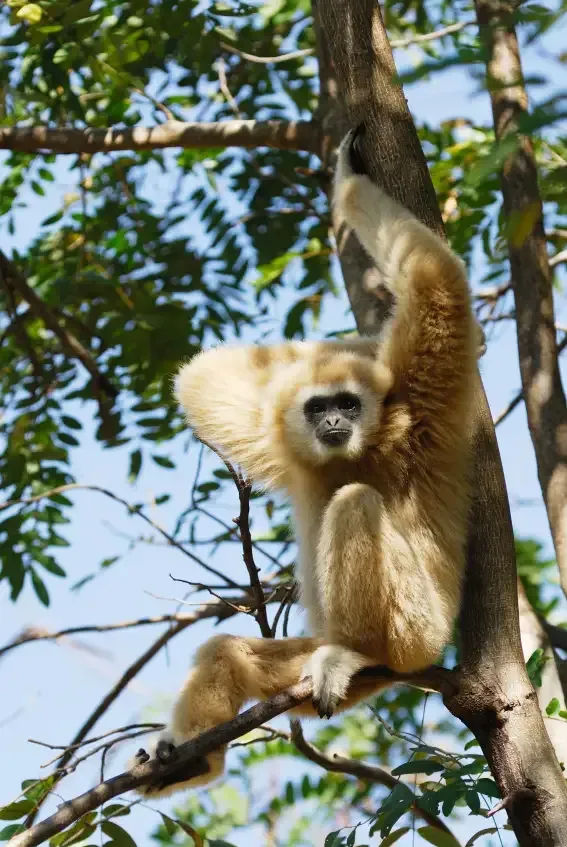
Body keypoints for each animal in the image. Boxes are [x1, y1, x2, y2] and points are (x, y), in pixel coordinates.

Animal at [131, 125, 478, 797]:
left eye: (347, 403)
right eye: (320, 408)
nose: (334, 424)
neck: (371, 440)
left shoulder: (423, 399)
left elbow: (438, 282)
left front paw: (347, 180)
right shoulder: (278, 438)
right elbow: (201, 378)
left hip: (417, 632)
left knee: (355, 504)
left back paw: (357, 653)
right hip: (300, 669)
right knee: (229, 654)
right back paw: (193, 757)